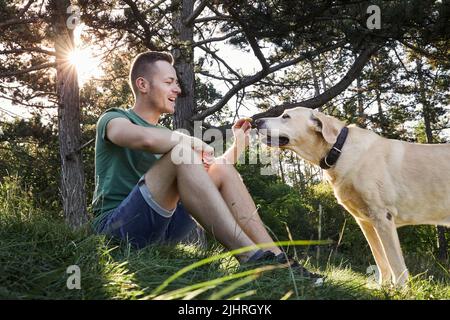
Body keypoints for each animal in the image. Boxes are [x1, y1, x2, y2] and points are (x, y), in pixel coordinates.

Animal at [255, 107, 448, 288]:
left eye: (285, 116)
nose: (257, 121)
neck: (338, 150)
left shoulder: (382, 217)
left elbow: (395, 262)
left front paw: (399, 289)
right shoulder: (366, 222)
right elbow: (380, 259)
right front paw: (383, 287)